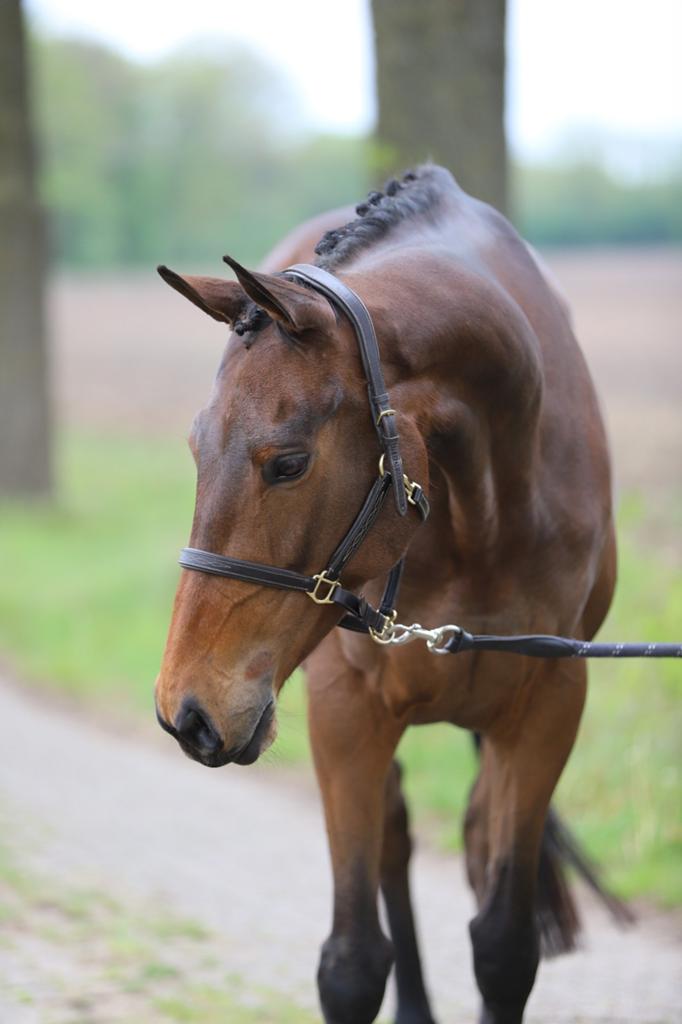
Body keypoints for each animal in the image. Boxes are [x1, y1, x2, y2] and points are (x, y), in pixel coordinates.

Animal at [155, 164, 625, 1024]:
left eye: (289, 462)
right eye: (197, 449)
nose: (188, 711)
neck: (482, 513)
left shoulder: (547, 704)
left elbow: (505, 946)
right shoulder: (347, 712)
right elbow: (351, 961)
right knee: (397, 843)